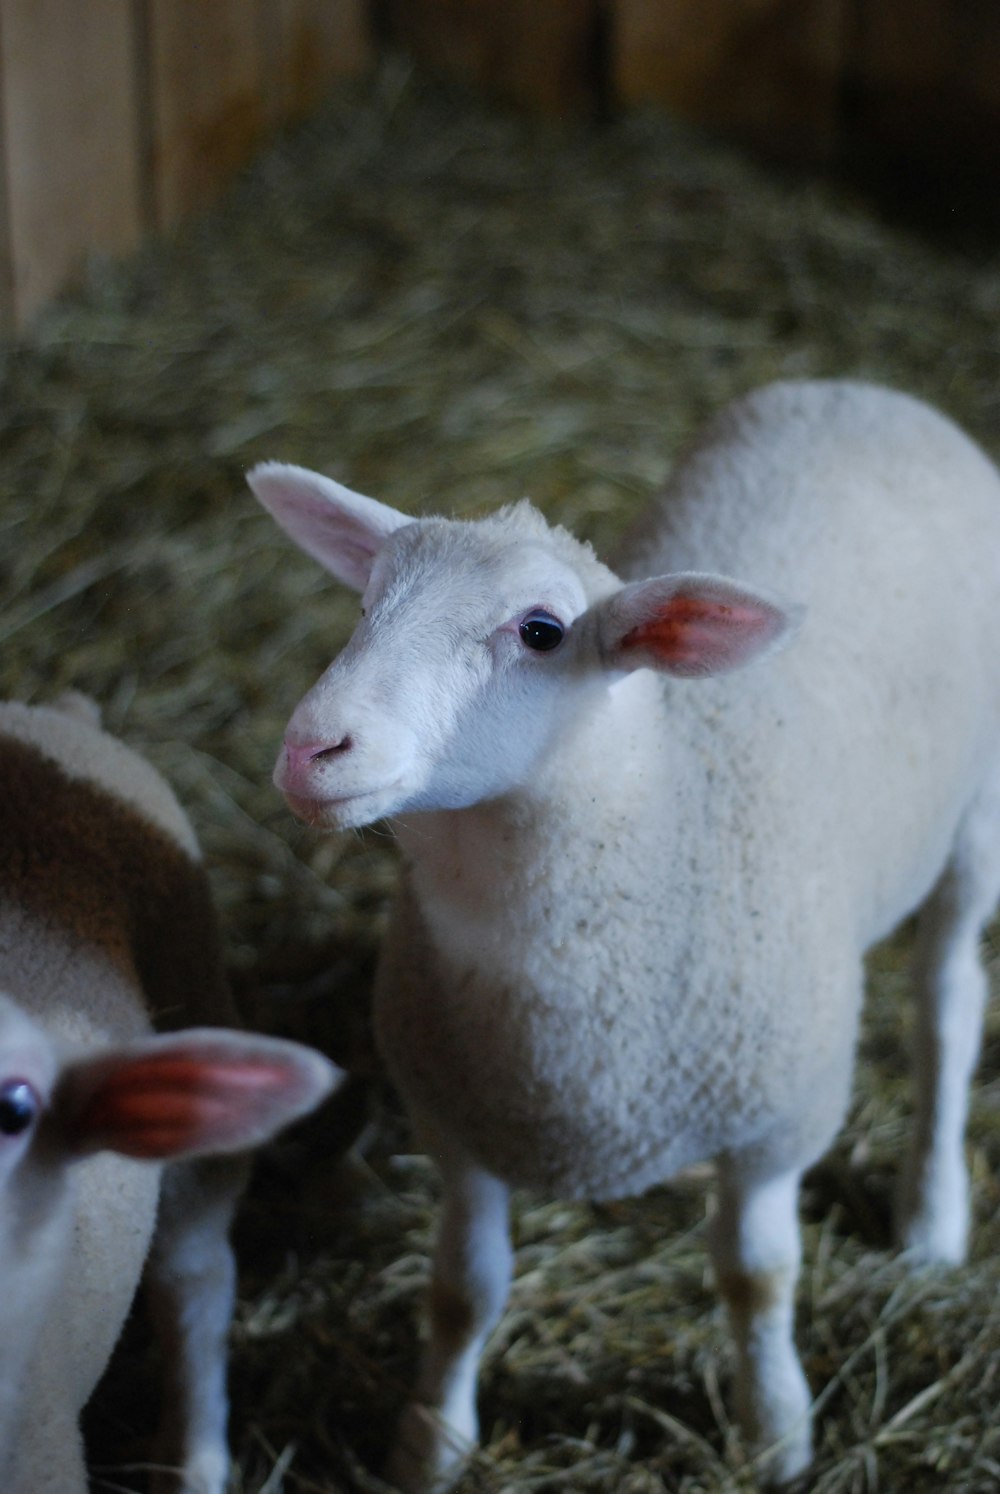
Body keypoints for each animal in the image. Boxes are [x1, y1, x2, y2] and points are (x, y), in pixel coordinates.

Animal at [251, 379, 1000, 1488]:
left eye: (542, 632)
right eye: (365, 601)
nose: (311, 748)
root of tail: (861, 391)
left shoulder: (775, 1117)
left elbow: (758, 1280)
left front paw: (776, 1434)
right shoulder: (453, 1115)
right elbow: (462, 1290)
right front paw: (430, 1440)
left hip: (976, 802)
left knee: (947, 999)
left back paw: (933, 1213)